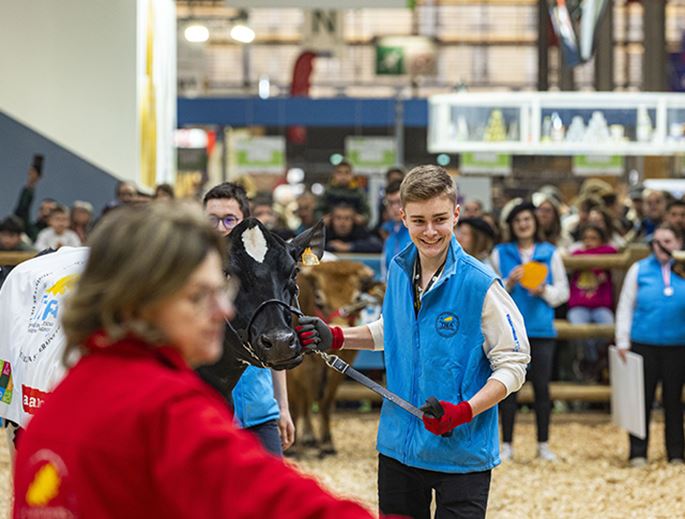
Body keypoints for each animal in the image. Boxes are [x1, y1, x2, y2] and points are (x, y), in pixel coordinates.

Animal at [286, 262, 382, 458]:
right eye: (318, 297)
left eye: (357, 297)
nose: (341, 325)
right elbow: (295, 404)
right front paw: (293, 447)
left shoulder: (339, 367)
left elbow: (325, 403)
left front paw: (326, 443)